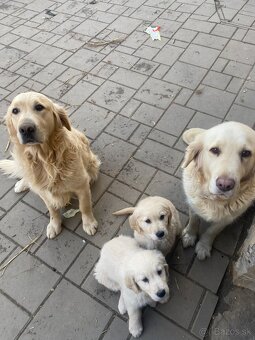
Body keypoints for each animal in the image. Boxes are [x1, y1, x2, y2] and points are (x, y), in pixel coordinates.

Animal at [0, 91, 100, 238]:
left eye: (39, 107)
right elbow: (52, 211)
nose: (26, 128)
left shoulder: (82, 185)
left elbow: (84, 206)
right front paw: (54, 225)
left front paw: (89, 223)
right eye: (15, 111)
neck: (45, 160)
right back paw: (22, 183)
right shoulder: (44, 192)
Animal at [182, 122, 255, 260]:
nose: (225, 185)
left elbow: (212, 231)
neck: (214, 199)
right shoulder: (193, 204)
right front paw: (189, 235)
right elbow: (193, 221)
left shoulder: (227, 218)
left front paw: (204, 246)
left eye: (246, 153)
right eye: (214, 150)